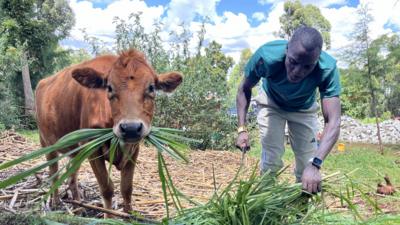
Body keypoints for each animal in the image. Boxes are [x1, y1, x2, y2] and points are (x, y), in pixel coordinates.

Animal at [35, 50, 182, 217]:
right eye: (109, 88)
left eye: (151, 87)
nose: (130, 128)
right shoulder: (91, 147)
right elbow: (107, 188)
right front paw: (109, 217)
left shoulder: (134, 149)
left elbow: (126, 188)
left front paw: (129, 216)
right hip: (46, 142)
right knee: (54, 173)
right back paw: (55, 202)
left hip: (76, 151)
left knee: (71, 176)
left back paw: (79, 207)